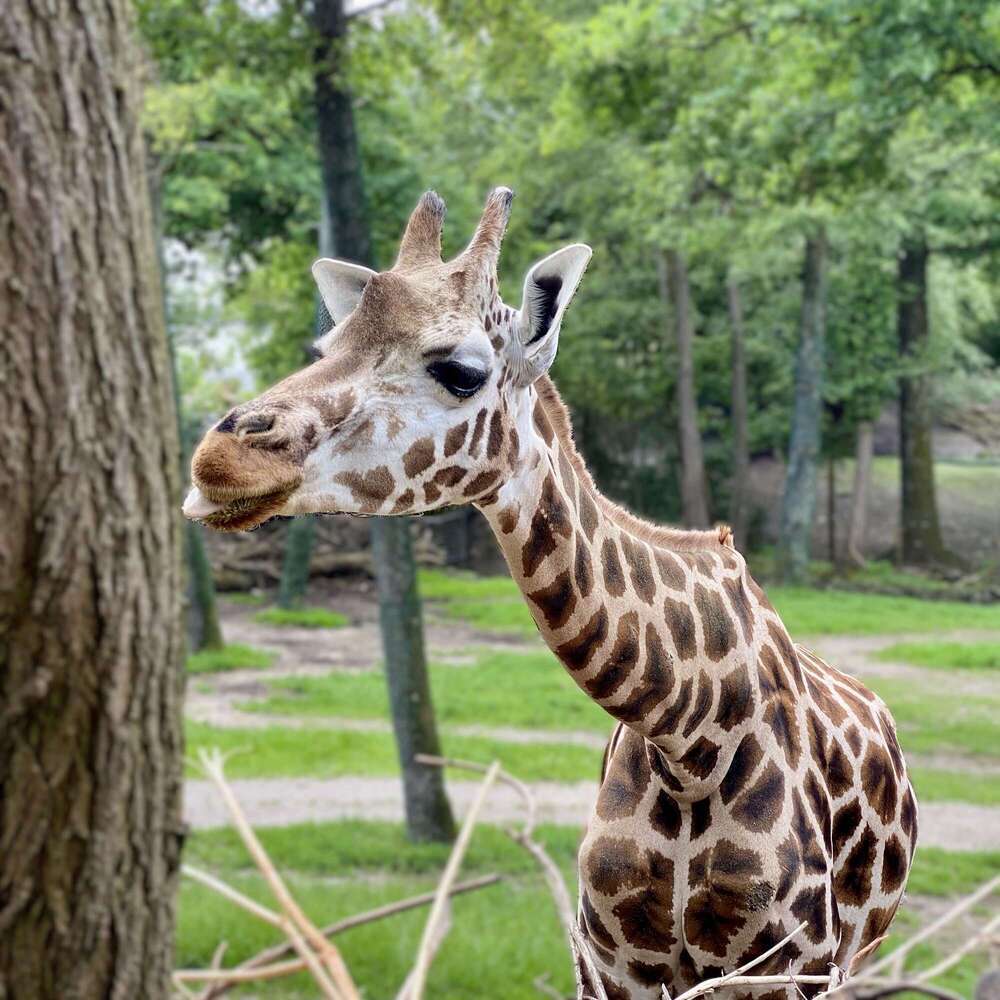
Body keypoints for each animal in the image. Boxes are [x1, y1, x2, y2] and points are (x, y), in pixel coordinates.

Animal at [183, 189, 918, 998]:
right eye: (327, 348)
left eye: (462, 370)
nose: (219, 460)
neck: (689, 734)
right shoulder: (607, 959)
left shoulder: (783, 963)